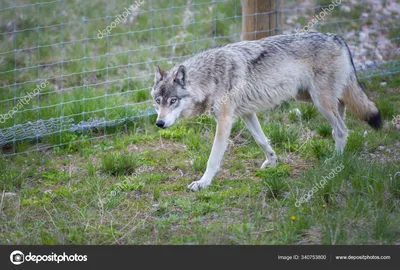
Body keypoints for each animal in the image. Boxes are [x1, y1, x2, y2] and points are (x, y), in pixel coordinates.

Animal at [151, 31, 382, 191]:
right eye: (158, 102)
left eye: (173, 101)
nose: (159, 123)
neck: (210, 77)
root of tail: (338, 38)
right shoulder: (246, 114)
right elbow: (262, 140)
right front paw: (272, 162)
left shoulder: (224, 120)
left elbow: (213, 159)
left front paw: (202, 183)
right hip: (311, 97)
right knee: (341, 115)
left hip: (320, 102)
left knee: (342, 130)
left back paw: (336, 161)